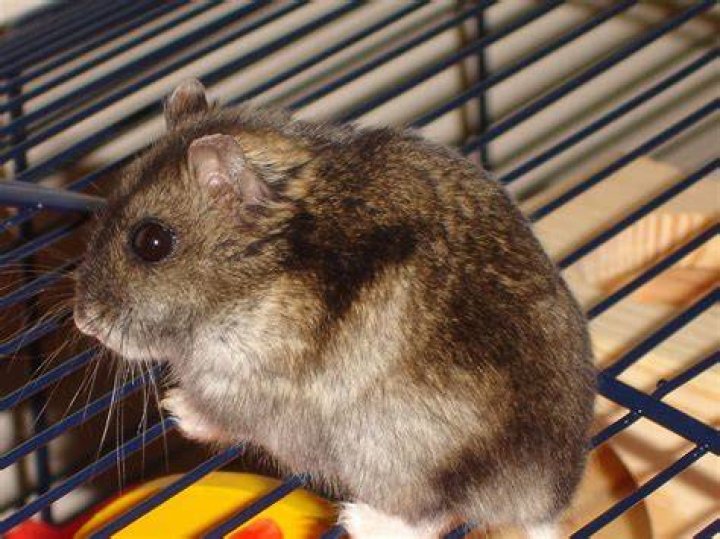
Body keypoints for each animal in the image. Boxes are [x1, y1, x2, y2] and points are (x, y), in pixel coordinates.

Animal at [74, 80, 595, 539]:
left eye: (152, 242)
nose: (83, 322)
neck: (256, 271)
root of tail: (542, 505)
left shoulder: (234, 384)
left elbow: (220, 416)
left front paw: (176, 406)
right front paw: (171, 402)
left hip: (388, 456)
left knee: (432, 514)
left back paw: (357, 519)